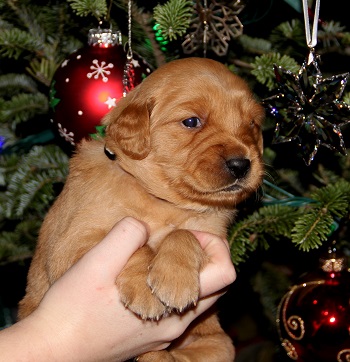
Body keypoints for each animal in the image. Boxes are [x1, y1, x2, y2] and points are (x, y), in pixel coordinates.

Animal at [17, 58, 264, 360]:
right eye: (191, 121)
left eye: (252, 124)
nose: (242, 165)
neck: (163, 202)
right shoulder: (71, 245)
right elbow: (140, 246)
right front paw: (145, 290)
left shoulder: (212, 237)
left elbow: (183, 234)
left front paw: (175, 278)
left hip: (217, 345)